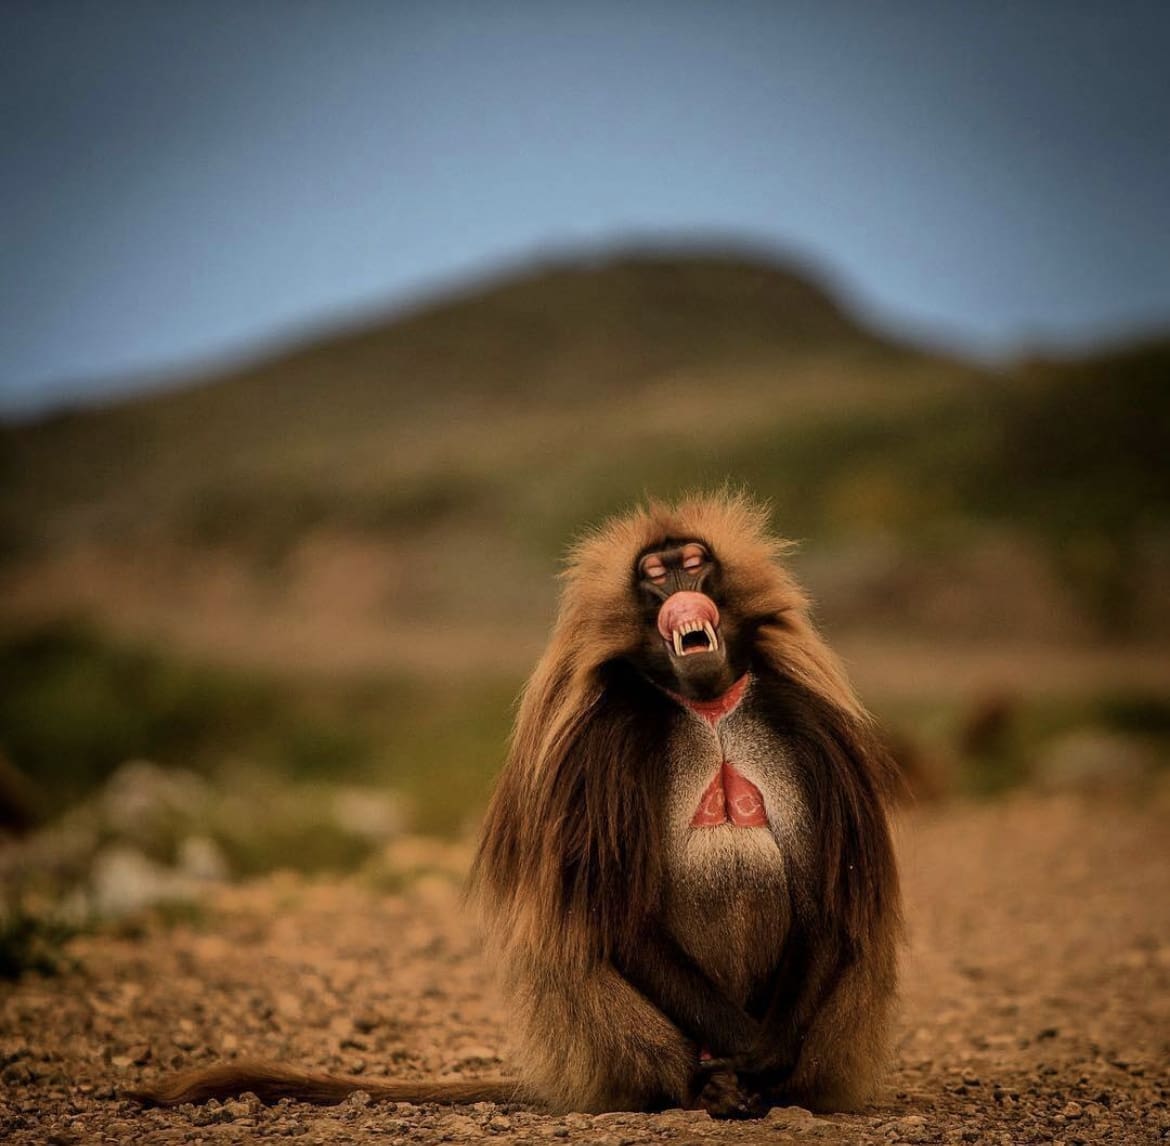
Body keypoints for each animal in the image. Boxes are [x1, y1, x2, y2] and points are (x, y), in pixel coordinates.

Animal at [134, 491, 901, 1118]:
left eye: (694, 563)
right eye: (654, 576)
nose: (681, 590)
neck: (708, 706)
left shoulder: (804, 723)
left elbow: (827, 900)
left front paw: (765, 1055)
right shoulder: (604, 742)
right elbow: (617, 917)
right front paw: (744, 1057)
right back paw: (704, 1086)